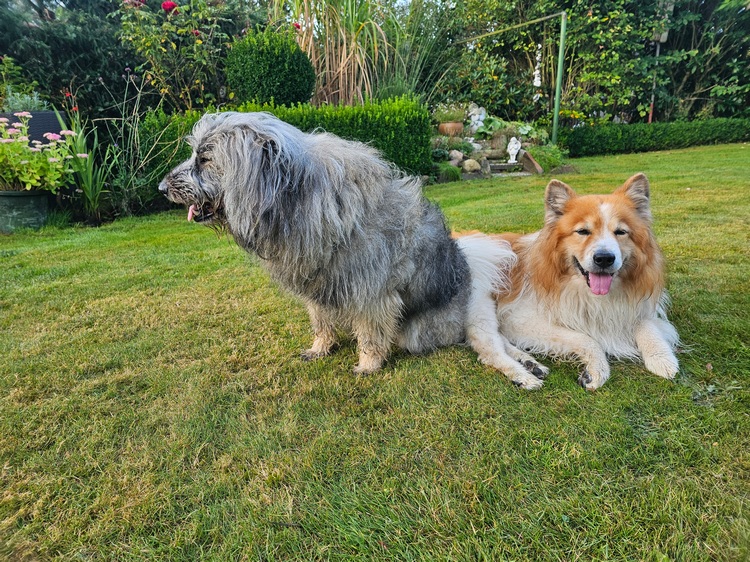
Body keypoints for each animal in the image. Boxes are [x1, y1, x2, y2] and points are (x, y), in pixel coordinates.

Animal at [160, 112, 548, 388]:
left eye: (205, 158)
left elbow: (372, 333)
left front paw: (368, 364)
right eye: (196, 154)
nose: (162, 188)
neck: (296, 201)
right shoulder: (317, 285)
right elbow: (321, 321)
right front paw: (321, 347)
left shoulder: (372, 293)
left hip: (424, 329)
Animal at [488, 173, 680, 388]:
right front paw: (597, 368)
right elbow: (586, 338)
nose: (604, 258)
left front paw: (662, 358)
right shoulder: (518, 319)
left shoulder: (636, 307)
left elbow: (646, 324)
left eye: (620, 231)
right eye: (582, 231)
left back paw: (529, 364)